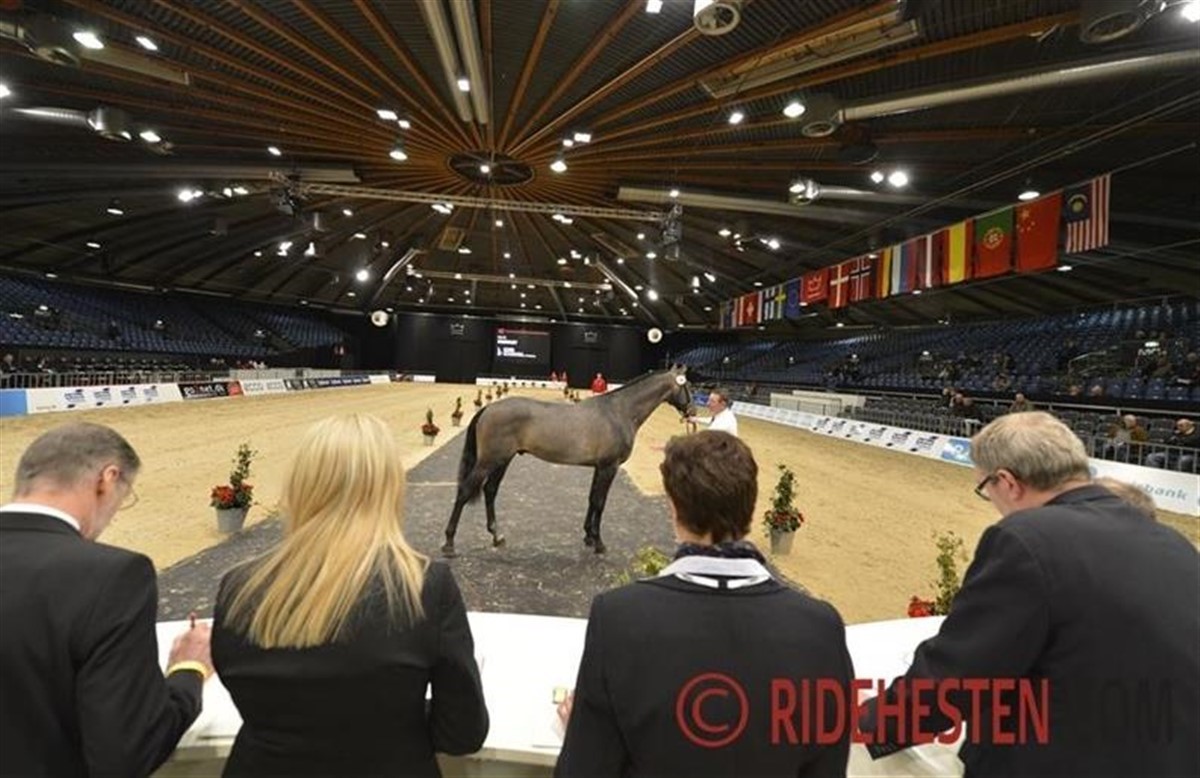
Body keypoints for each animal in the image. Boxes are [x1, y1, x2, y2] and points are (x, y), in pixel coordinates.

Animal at [442, 365, 693, 556]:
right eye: (686, 385)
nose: (691, 410)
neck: (618, 412)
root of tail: (488, 408)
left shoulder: (599, 468)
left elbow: (592, 500)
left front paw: (588, 537)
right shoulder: (609, 467)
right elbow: (600, 503)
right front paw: (599, 543)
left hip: (502, 461)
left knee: (490, 491)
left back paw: (497, 536)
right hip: (489, 461)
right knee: (464, 491)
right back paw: (449, 543)